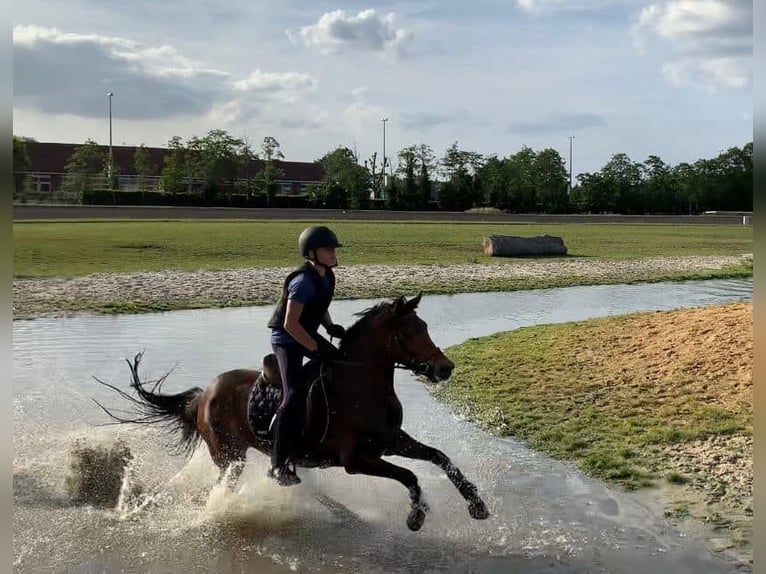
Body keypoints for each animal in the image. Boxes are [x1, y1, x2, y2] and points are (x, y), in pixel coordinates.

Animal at [95, 292, 489, 531]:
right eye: (408, 333)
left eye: (425, 327)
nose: (445, 369)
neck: (361, 385)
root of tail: (203, 395)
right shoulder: (356, 460)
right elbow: (410, 476)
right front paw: (415, 516)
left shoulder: (391, 441)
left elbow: (441, 459)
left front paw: (477, 505)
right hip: (230, 456)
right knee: (219, 489)